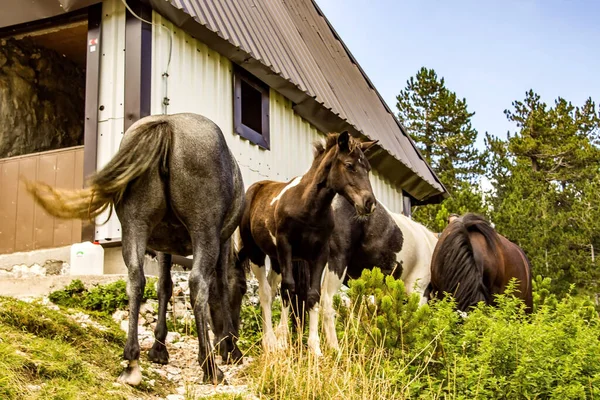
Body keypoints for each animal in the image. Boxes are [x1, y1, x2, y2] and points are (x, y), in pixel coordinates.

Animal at [25, 112, 246, 384]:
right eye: (244, 289)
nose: (233, 337)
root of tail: (167, 124)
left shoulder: (164, 247)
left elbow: (164, 287)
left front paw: (159, 347)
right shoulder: (221, 241)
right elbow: (221, 287)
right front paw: (230, 347)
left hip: (135, 225)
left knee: (135, 279)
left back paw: (131, 360)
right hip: (204, 231)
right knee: (198, 284)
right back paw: (210, 367)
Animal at [234, 131, 376, 354]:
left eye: (368, 168)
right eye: (349, 165)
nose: (369, 203)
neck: (308, 207)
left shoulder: (318, 255)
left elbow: (312, 295)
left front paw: (315, 349)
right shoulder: (286, 247)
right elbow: (288, 289)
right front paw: (283, 341)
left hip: (276, 260)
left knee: (273, 289)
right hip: (256, 252)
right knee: (266, 292)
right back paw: (270, 341)